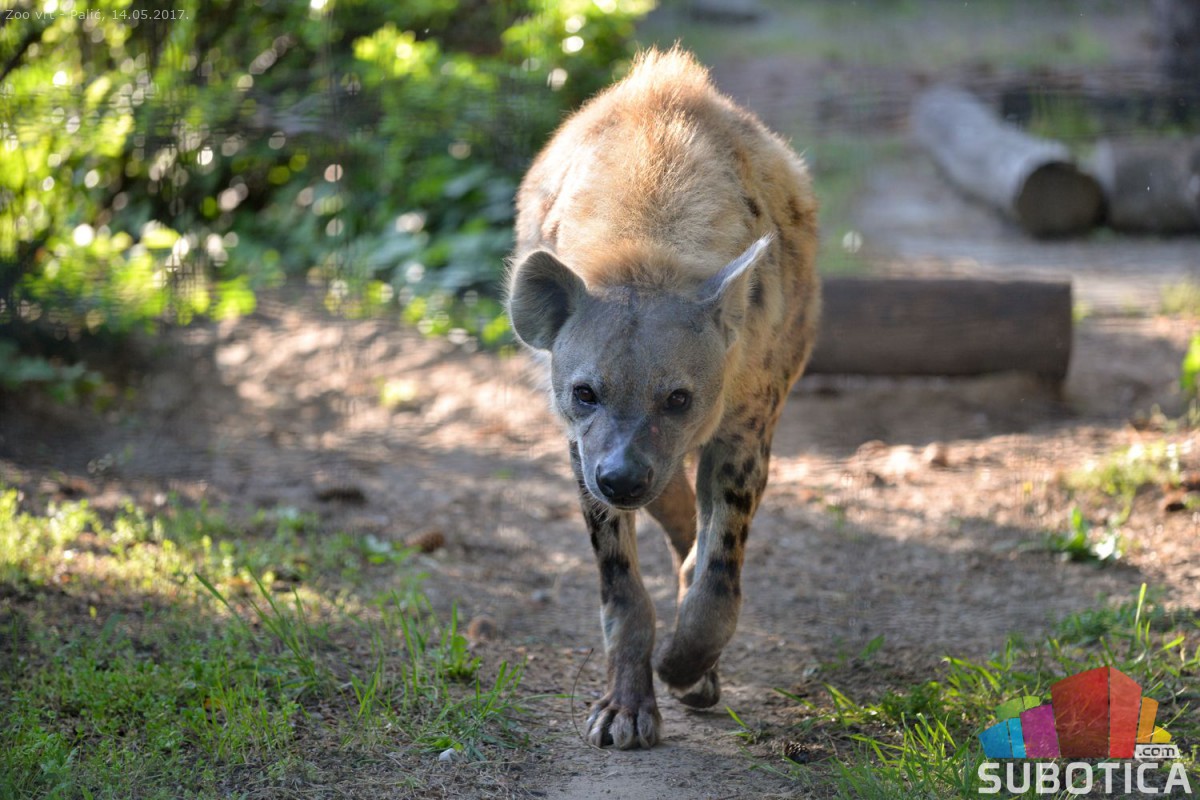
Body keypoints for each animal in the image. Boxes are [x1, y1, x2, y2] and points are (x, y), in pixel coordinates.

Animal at [506, 47, 819, 749]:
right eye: (585, 392)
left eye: (678, 396)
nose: (622, 476)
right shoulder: (583, 447)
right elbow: (621, 588)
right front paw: (624, 709)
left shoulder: (746, 418)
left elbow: (719, 574)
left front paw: (685, 665)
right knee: (670, 504)